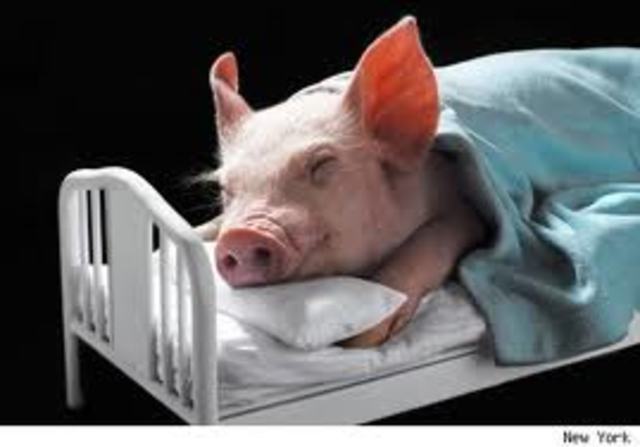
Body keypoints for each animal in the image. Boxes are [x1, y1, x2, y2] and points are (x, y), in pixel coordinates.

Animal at [197, 16, 487, 348]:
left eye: (323, 163)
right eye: (225, 188)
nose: (240, 235)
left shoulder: (467, 209)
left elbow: (432, 239)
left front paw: (361, 340)